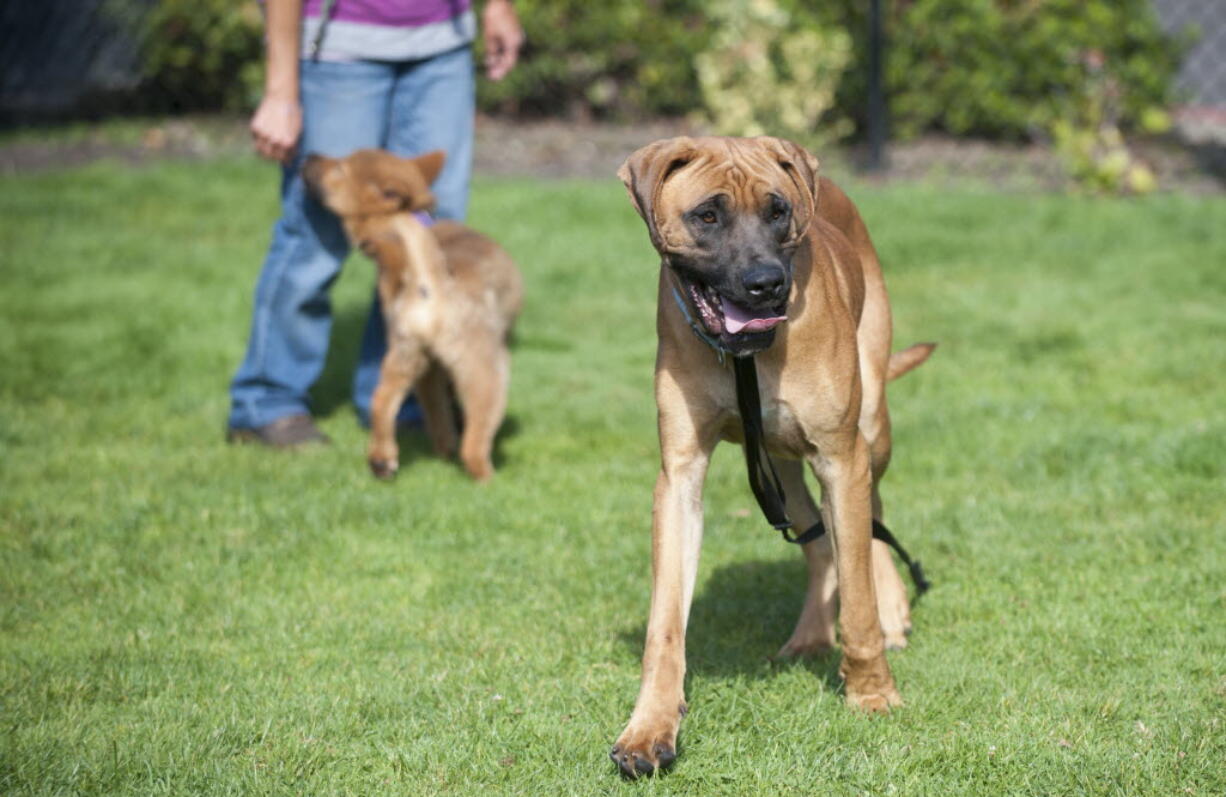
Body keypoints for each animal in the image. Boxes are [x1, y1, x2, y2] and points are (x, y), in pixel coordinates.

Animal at [305, 149, 522, 480]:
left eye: (339, 167)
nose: (308, 156)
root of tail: (429, 284)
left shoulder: (430, 370)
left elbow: (439, 412)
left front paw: (443, 447)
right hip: (488, 371)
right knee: (474, 440)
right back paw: (488, 478)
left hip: (405, 355)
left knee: (382, 401)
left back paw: (383, 460)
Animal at [608, 133, 931, 774]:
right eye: (708, 216)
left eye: (778, 211)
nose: (765, 283)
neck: (746, 358)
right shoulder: (679, 475)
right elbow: (665, 626)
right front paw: (649, 728)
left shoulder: (841, 457)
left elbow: (858, 598)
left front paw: (872, 692)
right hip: (781, 461)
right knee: (820, 545)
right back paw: (809, 634)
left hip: (872, 427)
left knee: (873, 522)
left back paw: (891, 609)